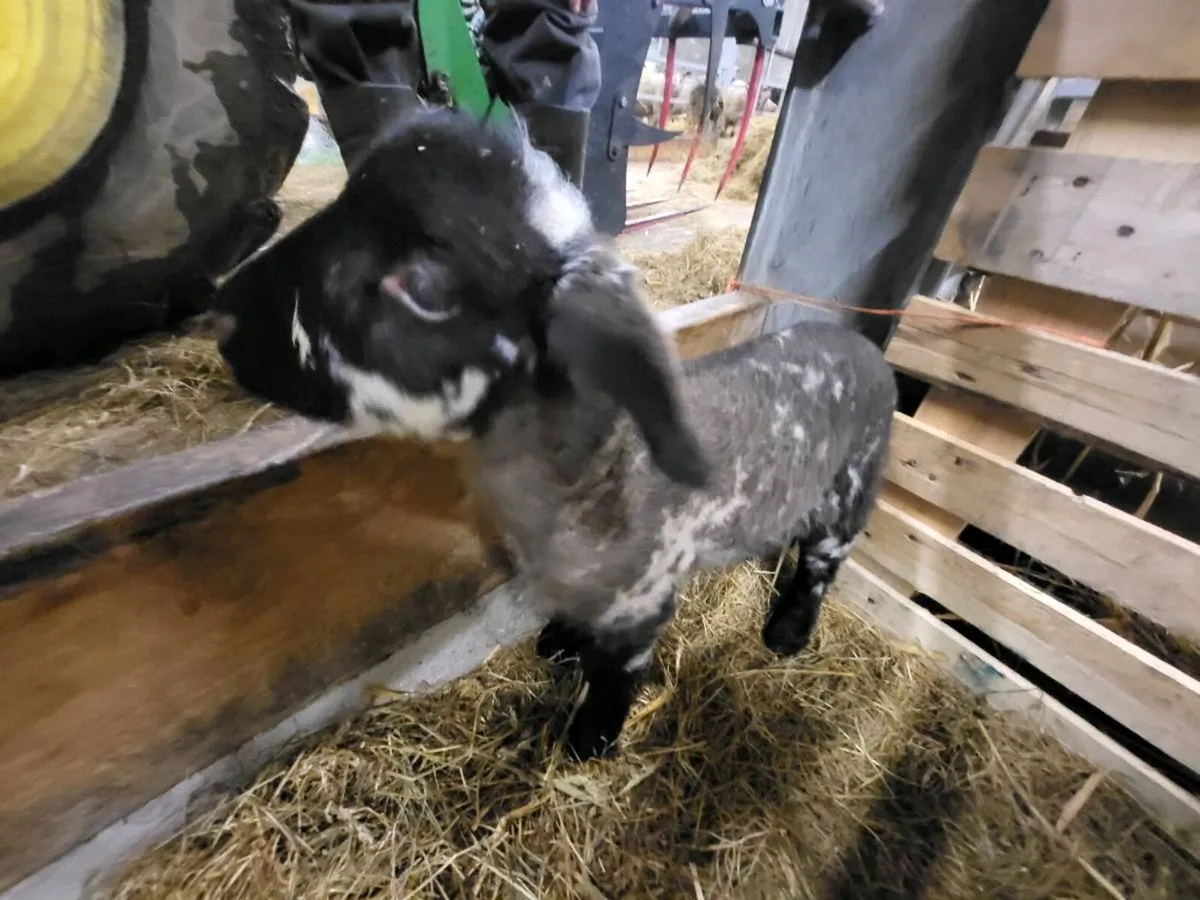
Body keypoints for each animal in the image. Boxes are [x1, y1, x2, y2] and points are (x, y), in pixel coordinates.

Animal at [211, 107, 898, 762]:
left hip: (854, 485)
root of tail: (863, 347)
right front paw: (560, 641)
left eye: (425, 288)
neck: (600, 469)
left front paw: (589, 742)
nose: (225, 313)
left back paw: (786, 632)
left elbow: (614, 678)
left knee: (822, 563)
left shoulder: (643, 600)